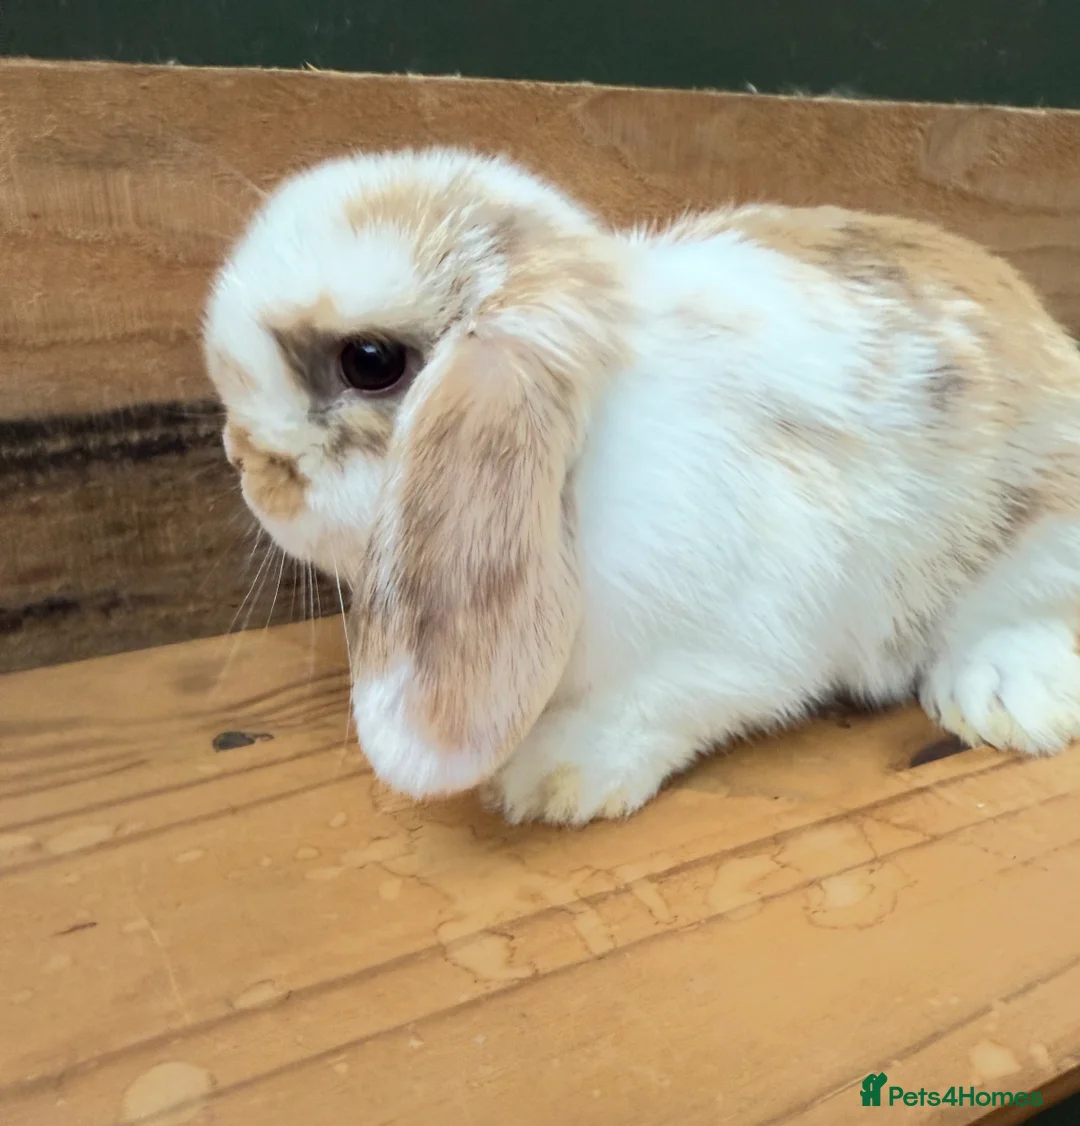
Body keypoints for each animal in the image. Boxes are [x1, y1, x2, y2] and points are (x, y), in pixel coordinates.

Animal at [202, 145, 1080, 825]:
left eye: (371, 361)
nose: (244, 465)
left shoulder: (742, 641)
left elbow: (660, 701)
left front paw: (548, 777)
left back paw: (1004, 700)